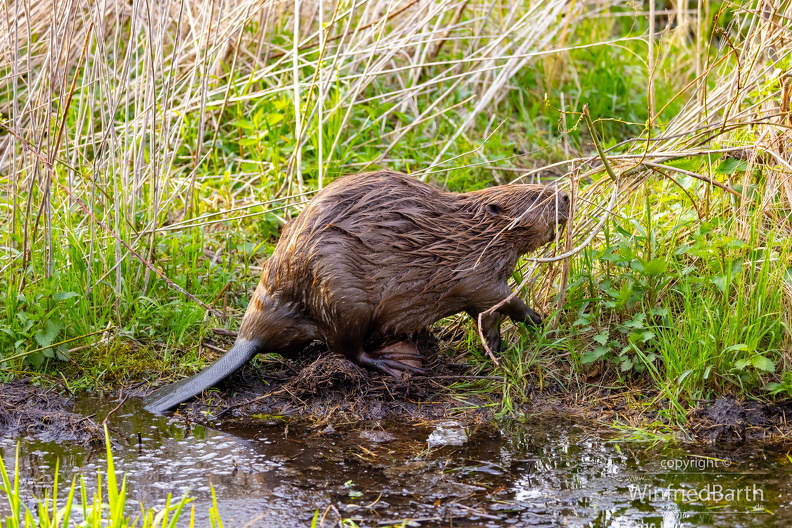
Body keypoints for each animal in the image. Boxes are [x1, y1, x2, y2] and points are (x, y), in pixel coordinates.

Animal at [145, 170, 568, 412]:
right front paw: (539, 318)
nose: (566, 195)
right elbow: (498, 297)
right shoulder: (473, 269)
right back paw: (398, 363)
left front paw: (498, 348)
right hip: (342, 294)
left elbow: (488, 315)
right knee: (347, 348)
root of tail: (248, 338)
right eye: (538, 196)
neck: (470, 231)